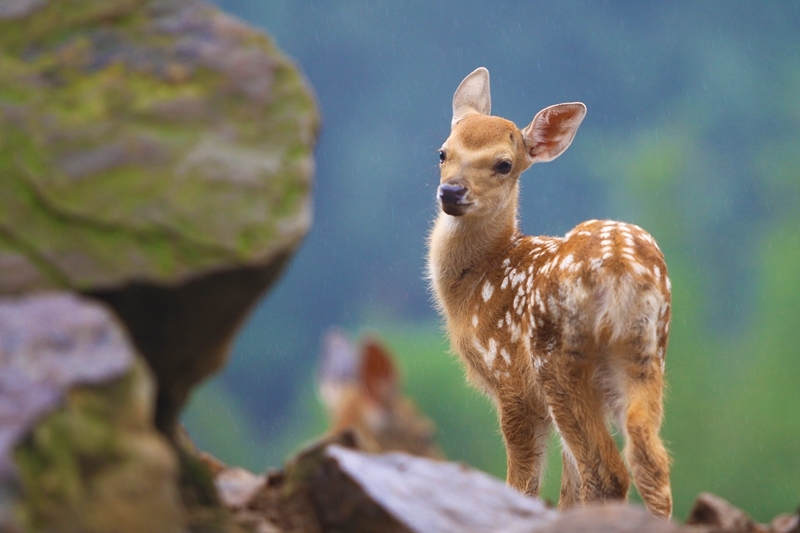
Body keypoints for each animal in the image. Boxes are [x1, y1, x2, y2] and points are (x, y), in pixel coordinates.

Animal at [428, 68, 672, 516]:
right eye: (443, 152)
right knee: (650, 464)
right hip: (647, 353)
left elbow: (524, 481)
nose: (451, 192)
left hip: (556, 360)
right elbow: (568, 482)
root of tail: (619, 271)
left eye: (504, 164)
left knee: (608, 471)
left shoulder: (510, 381)